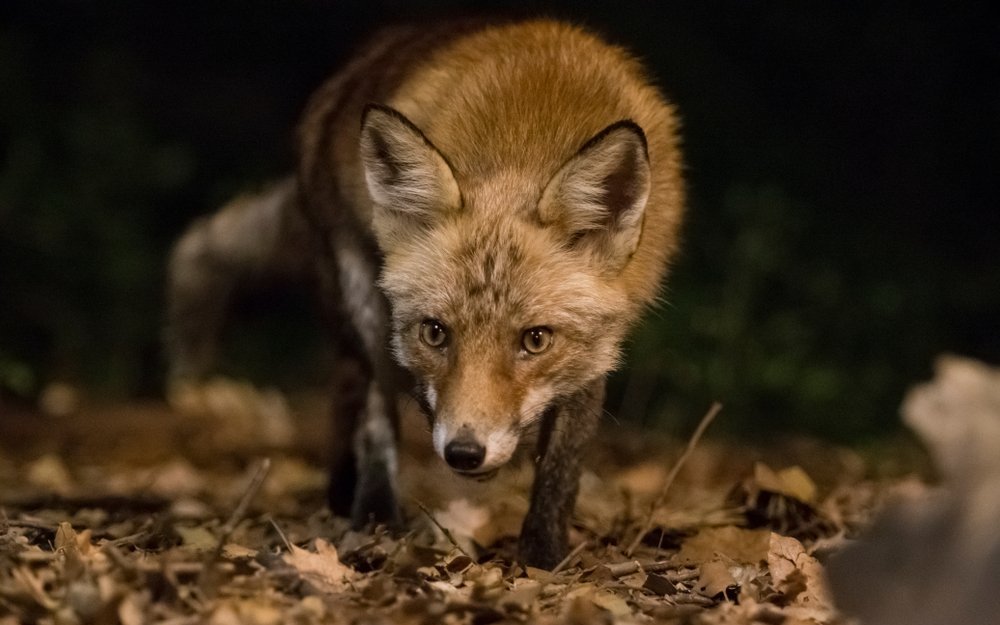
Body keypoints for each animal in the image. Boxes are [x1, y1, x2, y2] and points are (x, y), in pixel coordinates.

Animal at [168, 18, 684, 564]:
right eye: (435, 333)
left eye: (536, 340)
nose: (464, 452)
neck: (527, 140)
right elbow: (379, 418)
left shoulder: (598, 344)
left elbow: (562, 465)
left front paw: (542, 557)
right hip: (361, 294)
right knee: (368, 400)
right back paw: (371, 513)